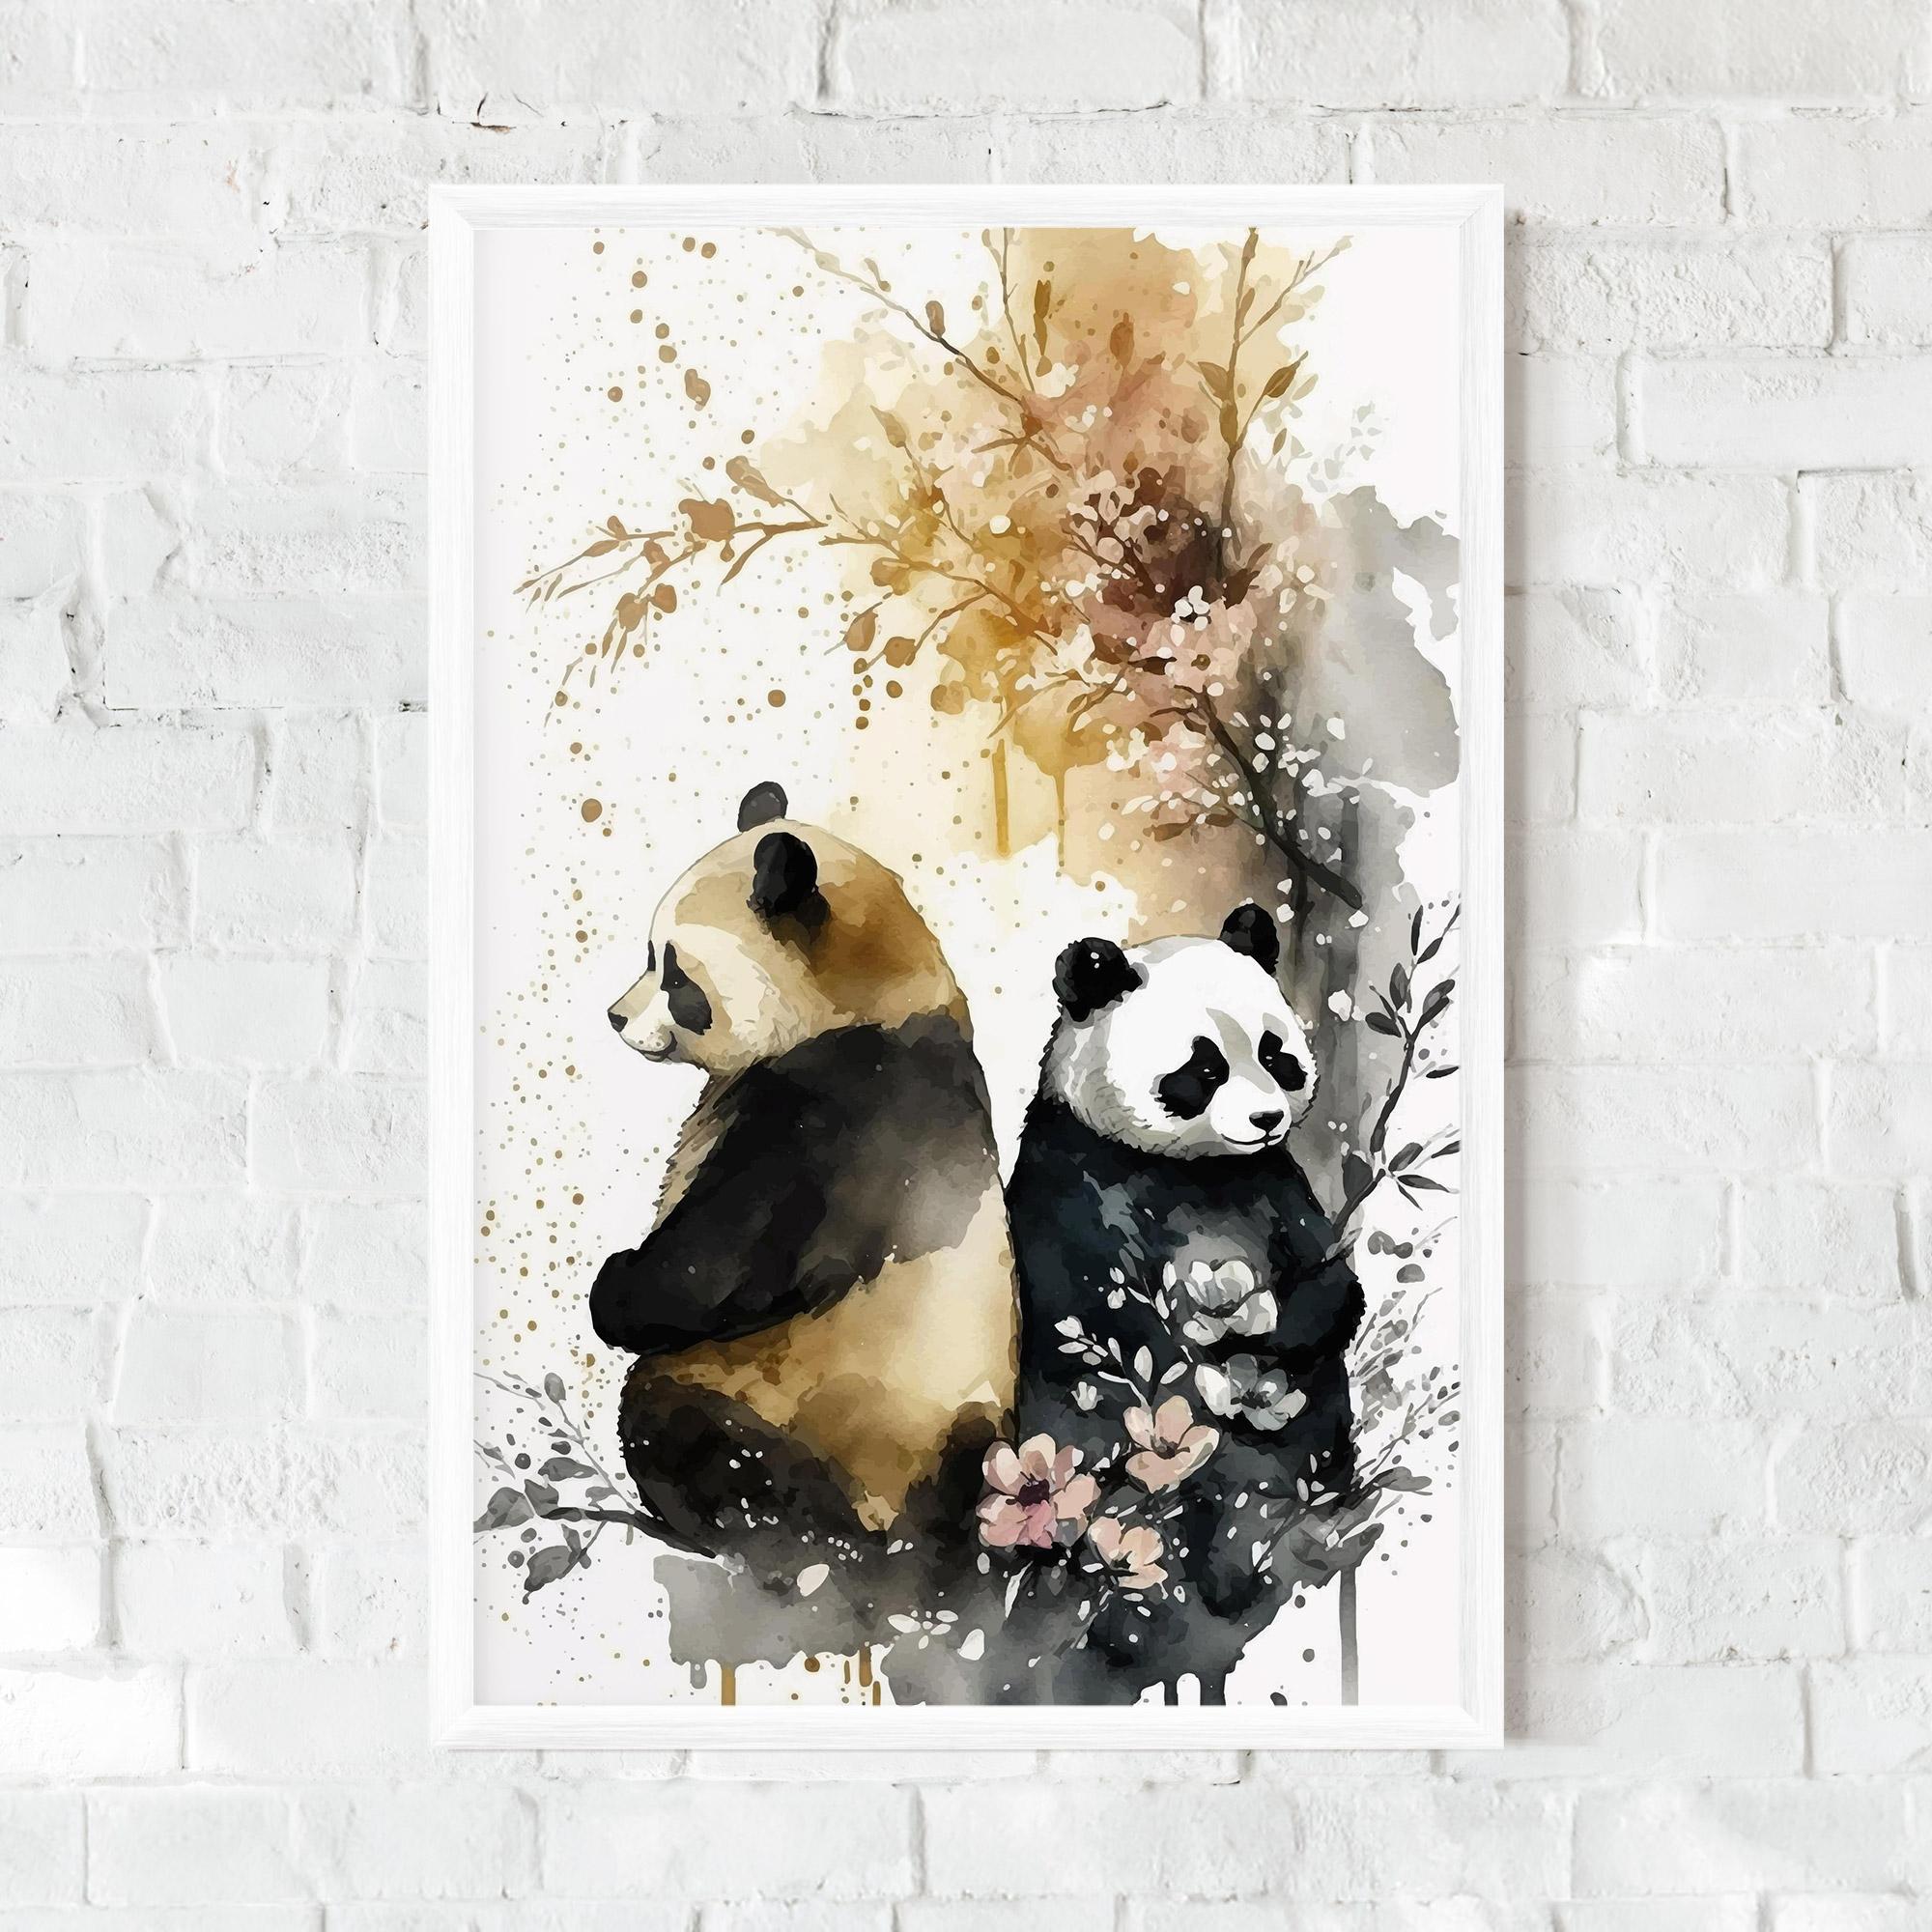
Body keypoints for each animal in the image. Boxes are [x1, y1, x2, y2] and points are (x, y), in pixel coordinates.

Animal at [589, 780, 1018, 1603]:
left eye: (677, 977)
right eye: (648, 955)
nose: (615, 1015)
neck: (877, 990)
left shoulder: (844, 1110)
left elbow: (727, 1262)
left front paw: (613, 1286)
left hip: (797, 1410)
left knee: (691, 1435)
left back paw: (797, 1545)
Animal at [1004, 903, 1364, 1695]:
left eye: (1276, 1054)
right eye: (1203, 1069)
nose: (1266, 1120)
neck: (1195, 1168)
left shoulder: (1272, 1182)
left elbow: (1332, 1283)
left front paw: (1263, 1340)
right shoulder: (1077, 1175)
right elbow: (1101, 1314)